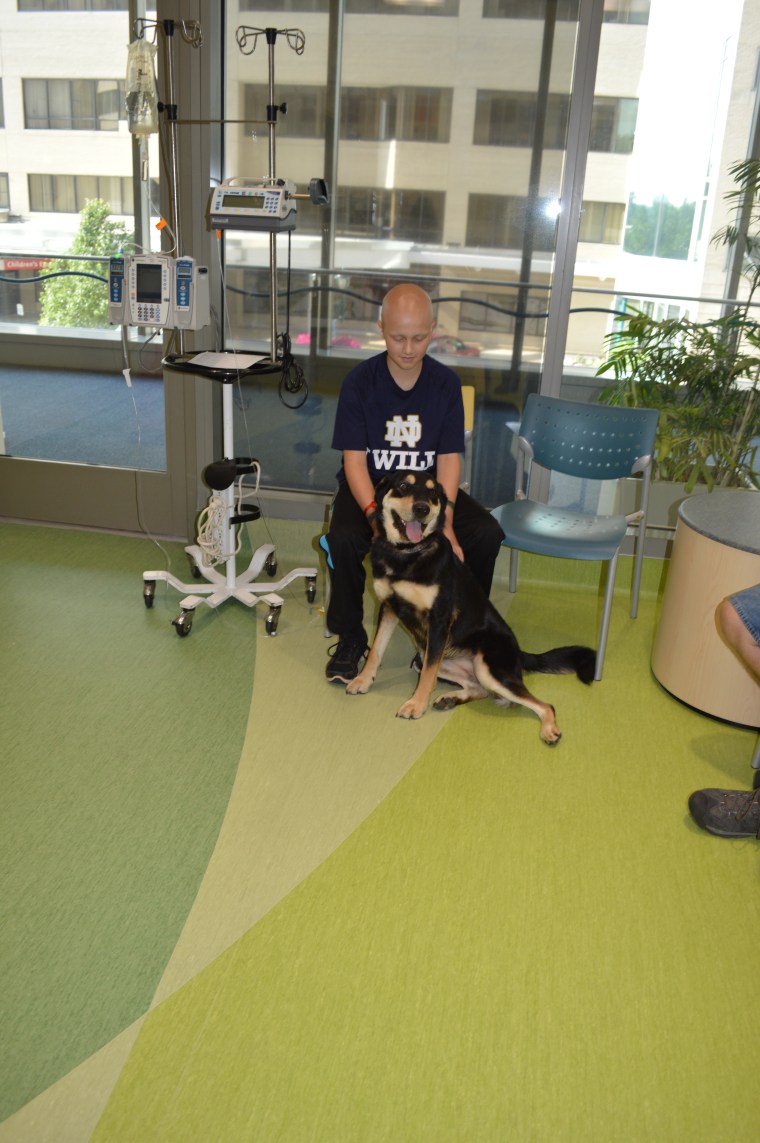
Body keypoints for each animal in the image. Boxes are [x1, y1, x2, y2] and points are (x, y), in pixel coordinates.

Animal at [347, 470, 594, 745]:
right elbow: (376, 652)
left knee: (543, 704)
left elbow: (427, 677)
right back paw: (449, 698)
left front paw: (416, 704)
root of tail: (519, 653)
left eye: (433, 493)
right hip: (435, 658)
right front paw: (362, 680)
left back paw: (549, 729)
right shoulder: (389, 608)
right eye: (403, 486)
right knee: (478, 689)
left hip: (489, 669)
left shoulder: (439, 620)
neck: (407, 554)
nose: (422, 509)